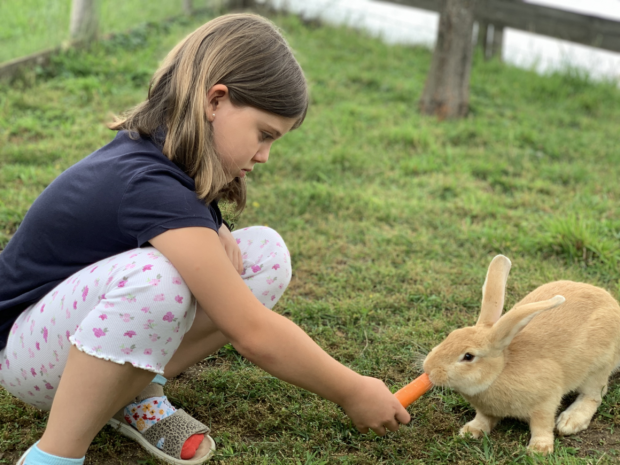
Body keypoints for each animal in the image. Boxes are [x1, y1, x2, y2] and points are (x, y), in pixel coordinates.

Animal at [424, 254, 620, 454]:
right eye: (451, 335)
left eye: (468, 356)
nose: (429, 369)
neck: (500, 371)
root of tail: (614, 306)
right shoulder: (486, 410)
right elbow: (484, 418)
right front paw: (471, 431)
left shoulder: (546, 400)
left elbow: (542, 424)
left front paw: (539, 450)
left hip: (597, 369)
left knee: (593, 396)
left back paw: (570, 421)